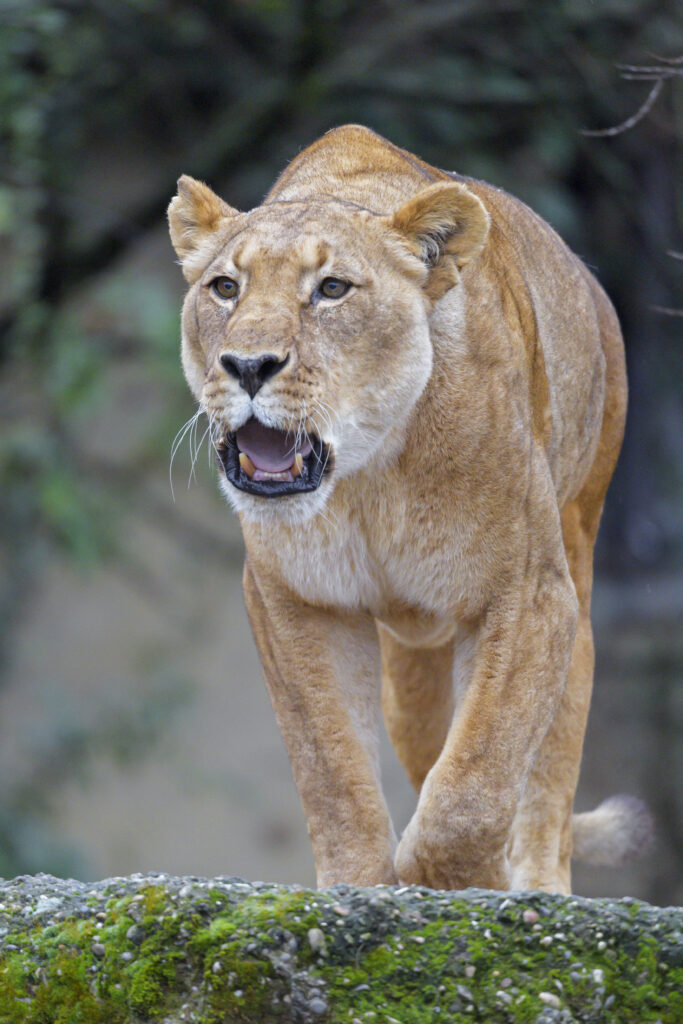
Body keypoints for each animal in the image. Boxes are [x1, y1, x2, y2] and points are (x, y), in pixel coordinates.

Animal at [168, 124, 651, 893]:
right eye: (225, 288)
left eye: (332, 289)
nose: (246, 366)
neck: (365, 479)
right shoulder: (294, 600)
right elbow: (333, 771)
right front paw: (358, 889)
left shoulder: (528, 593)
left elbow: (475, 783)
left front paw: (467, 887)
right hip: (412, 673)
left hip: (576, 557)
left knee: (547, 763)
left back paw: (539, 882)